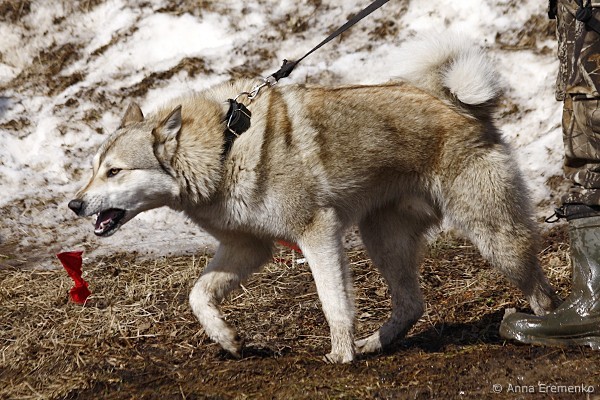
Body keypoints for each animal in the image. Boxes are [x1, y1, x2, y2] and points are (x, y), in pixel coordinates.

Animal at [68, 34, 560, 363]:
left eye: (114, 171)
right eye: (94, 168)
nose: (75, 205)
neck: (225, 149)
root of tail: (460, 105)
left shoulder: (317, 234)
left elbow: (333, 302)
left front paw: (341, 354)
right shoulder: (247, 248)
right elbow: (198, 296)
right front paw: (227, 338)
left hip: (495, 237)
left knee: (539, 289)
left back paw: (545, 329)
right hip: (382, 239)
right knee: (411, 304)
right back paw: (374, 343)